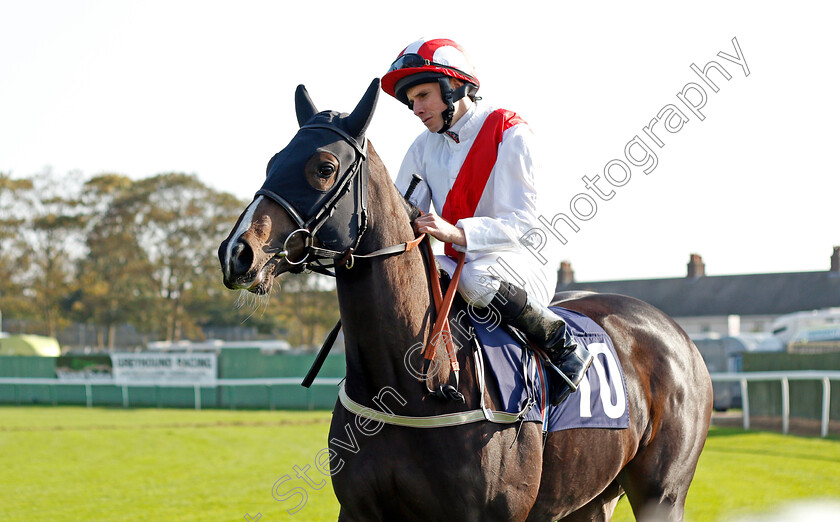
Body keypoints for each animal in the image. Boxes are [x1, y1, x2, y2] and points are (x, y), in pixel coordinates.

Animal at [220, 79, 712, 516]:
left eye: (323, 167)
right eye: (273, 161)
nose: (236, 252)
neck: (416, 382)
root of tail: (680, 337)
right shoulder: (359, 511)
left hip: (663, 493)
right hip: (590, 499)